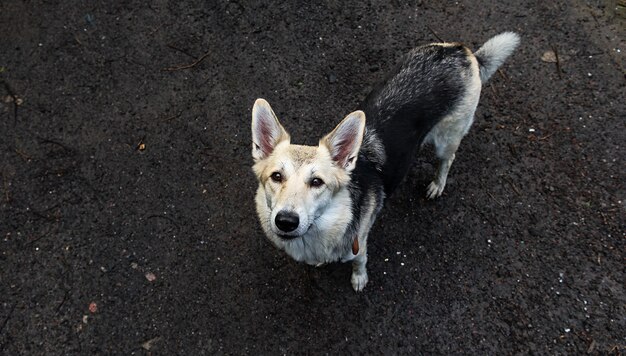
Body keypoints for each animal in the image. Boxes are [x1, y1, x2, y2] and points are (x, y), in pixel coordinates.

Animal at [251, 32, 520, 290]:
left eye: (317, 182)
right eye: (276, 177)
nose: (286, 221)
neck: (324, 225)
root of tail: (463, 52)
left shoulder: (359, 244)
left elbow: (360, 262)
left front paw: (359, 279)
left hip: (447, 139)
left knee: (447, 160)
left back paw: (437, 184)